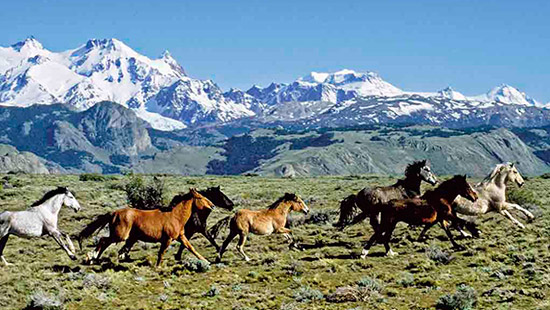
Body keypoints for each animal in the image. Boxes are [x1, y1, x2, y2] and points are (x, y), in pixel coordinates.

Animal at [78, 189, 212, 266]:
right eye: (200, 197)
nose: (212, 205)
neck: (176, 216)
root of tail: (114, 213)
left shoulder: (181, 236)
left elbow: (191, 248)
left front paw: (205, 261)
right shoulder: (167, 239)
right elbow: (161, 253)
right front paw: (157, 266)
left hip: (128, 238)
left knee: (110, 245)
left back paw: (94, 259)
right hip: (120, 235)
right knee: (103, 240)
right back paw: (92, 257)